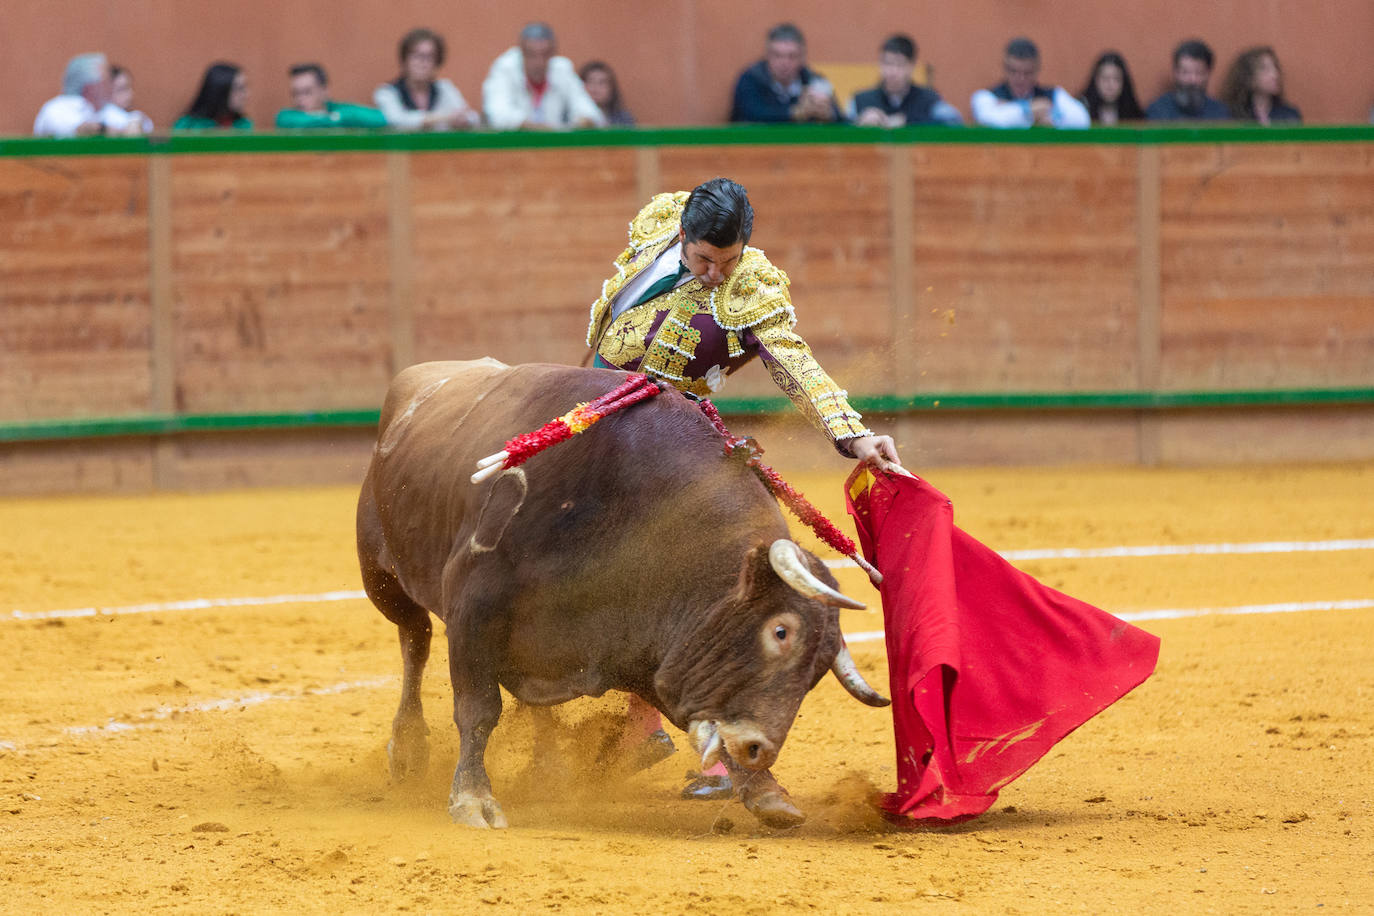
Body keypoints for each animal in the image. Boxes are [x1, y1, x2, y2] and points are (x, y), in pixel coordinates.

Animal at [357, 359, 890, 829]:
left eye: (818, 670)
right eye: (780, 632)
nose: (759, 748)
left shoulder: (651, 647)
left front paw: (766, 792)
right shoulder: (473, 609)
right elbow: (478, 710)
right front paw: (473, 800)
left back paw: (548, 769)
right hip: (383, 579)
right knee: (415, 641)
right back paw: (408, 751)